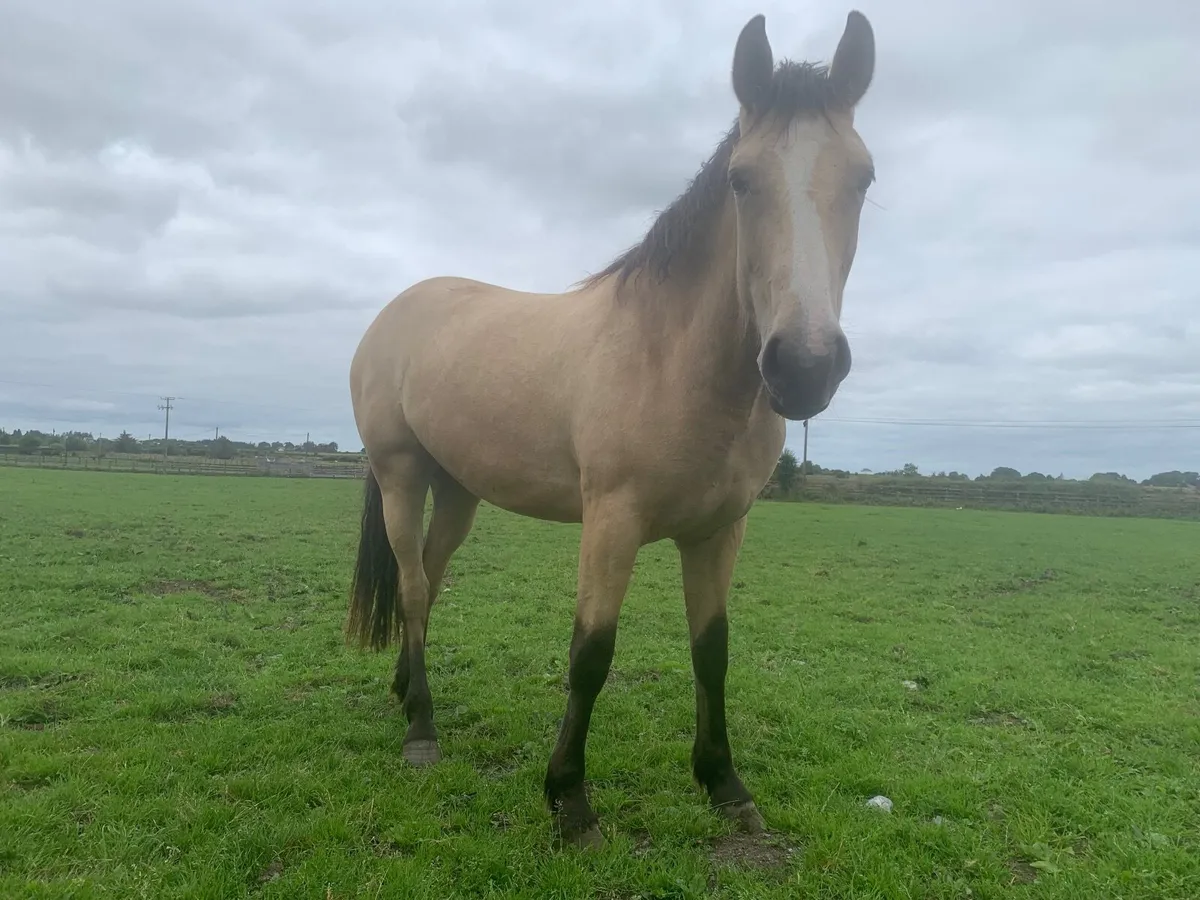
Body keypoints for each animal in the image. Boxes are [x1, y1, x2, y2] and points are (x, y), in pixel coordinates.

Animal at [346, 11, 878, 849]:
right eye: (742, 180)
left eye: (863, 179)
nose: (804, 365)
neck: (671, 358)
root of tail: (394, 313)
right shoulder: (612, 521)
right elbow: (591, 653)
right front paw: (569, 801)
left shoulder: (719, 530)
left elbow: (712, 650)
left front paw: (725, 785)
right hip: (402, 476)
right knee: (413, 583)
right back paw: (421, 730)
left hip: (458, 490)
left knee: (424, 580)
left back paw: (406, 690)